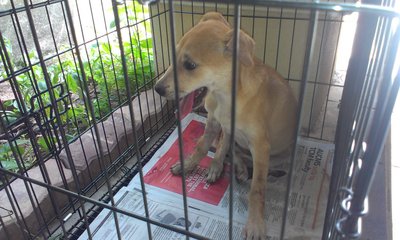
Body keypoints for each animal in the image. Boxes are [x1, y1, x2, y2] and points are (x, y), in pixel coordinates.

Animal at [153, 11, 296, 240]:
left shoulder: (260, 145)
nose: (156, 89)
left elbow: (257, 188)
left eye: (190, 65)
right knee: (227, 149)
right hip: (227, 133)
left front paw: (255, 225)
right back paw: (228, 167)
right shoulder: (214, 123)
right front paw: (188, 164)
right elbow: (202, 146)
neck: (225, 97)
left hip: (280, 155)